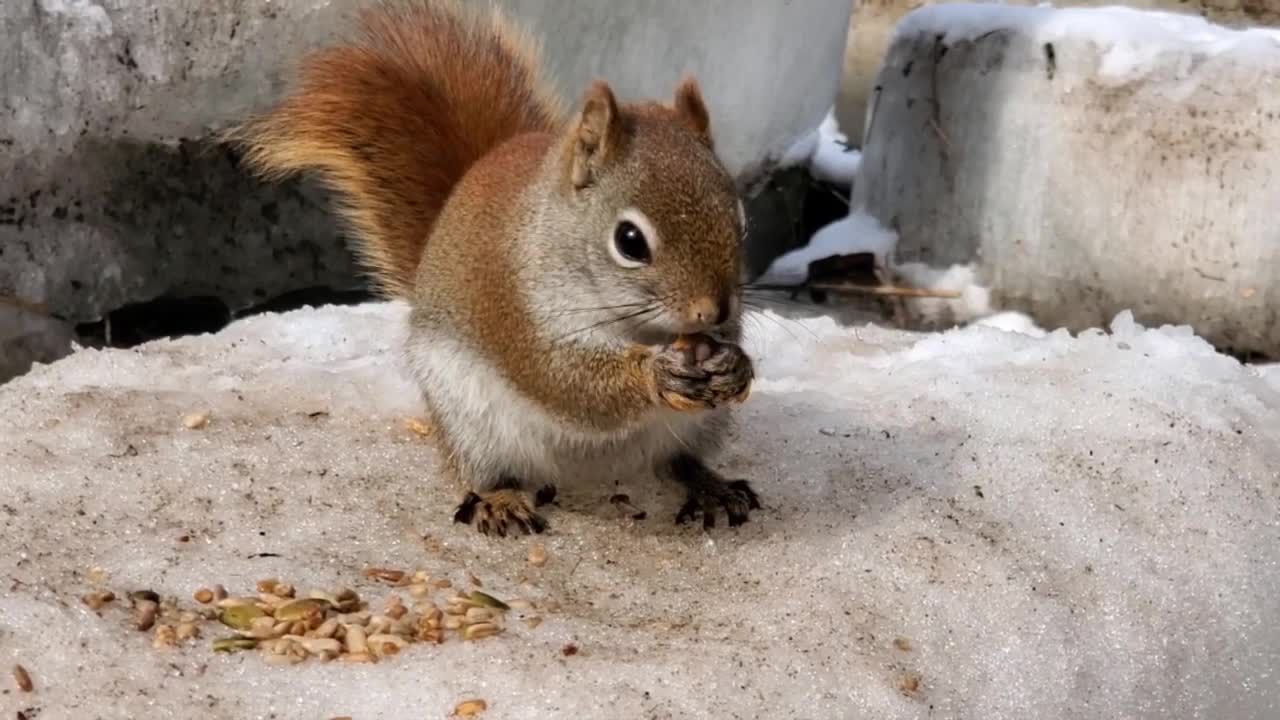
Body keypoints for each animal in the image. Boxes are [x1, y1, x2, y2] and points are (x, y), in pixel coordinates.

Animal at [227, 1, 757, 532]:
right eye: (629, 241)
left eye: (741, 219)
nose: (712, 310)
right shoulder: (512, 307)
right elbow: (564, 380)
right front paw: (654, 375)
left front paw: (736, 365)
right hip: (471, 420)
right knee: (490, 469)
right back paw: (501, 501)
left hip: (696, 425)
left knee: (677, 462)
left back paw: (710, 488)